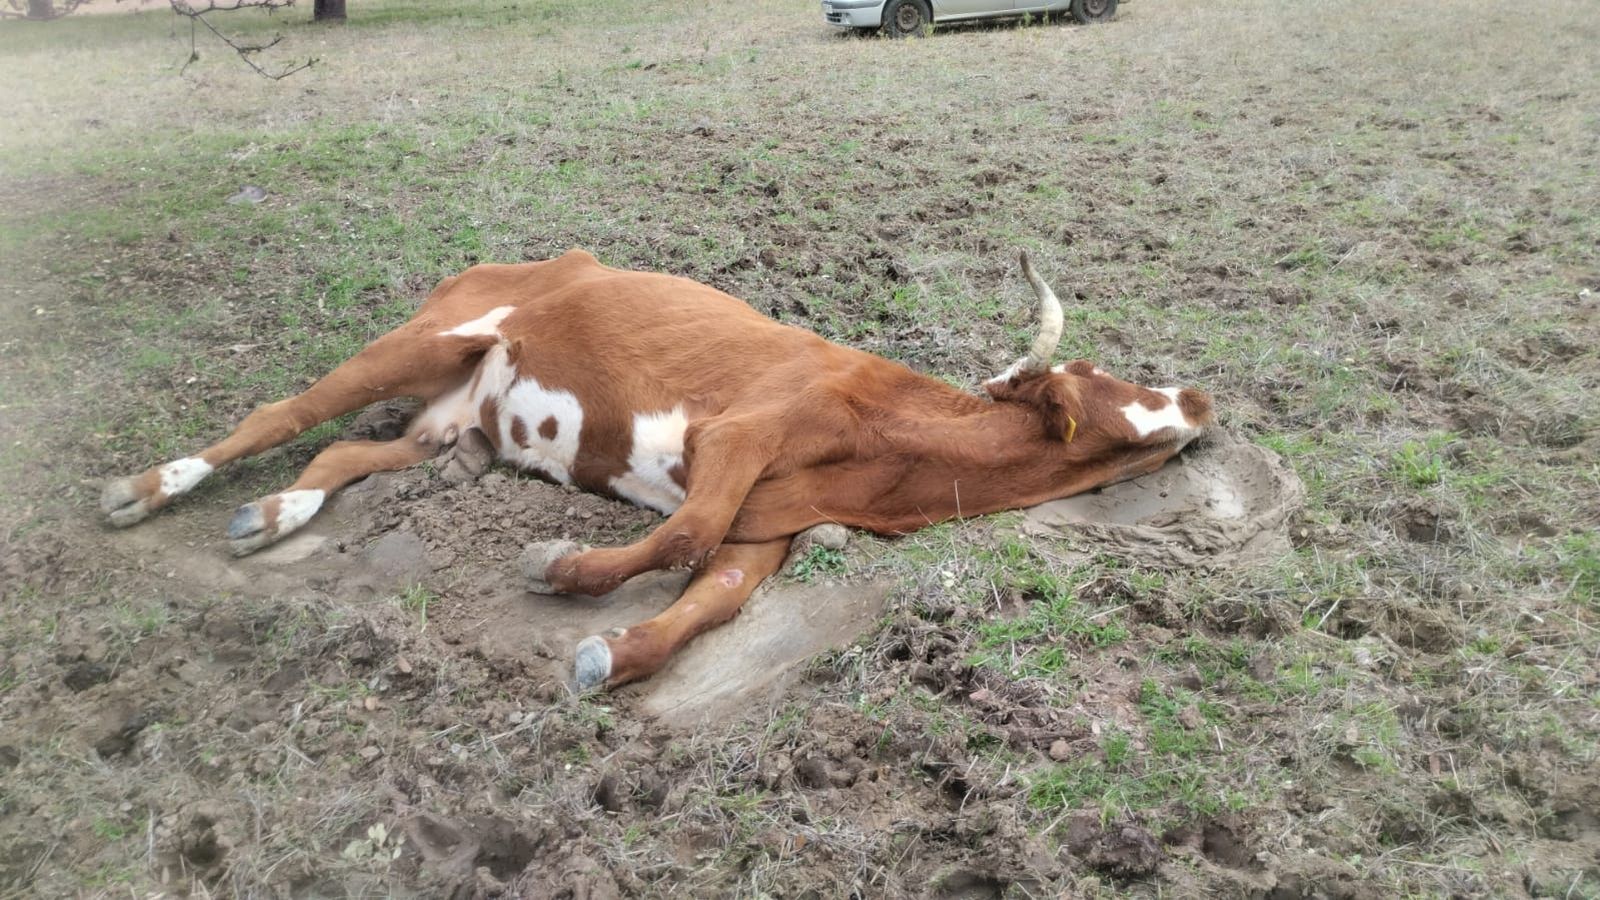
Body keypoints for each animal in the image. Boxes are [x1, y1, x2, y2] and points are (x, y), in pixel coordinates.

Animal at [102, 249, 1212, 690]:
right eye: (1104, 391)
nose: (1198, 400)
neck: (883, 448)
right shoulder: (738, 437)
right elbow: (682, 533)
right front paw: (557, 572)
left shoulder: (769, 529)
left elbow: (712, 596)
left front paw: (617, 653)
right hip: (423, 341)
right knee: (284, 412)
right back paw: (147, 490)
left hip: (456, 426)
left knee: (344, 449)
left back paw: (273, 516)